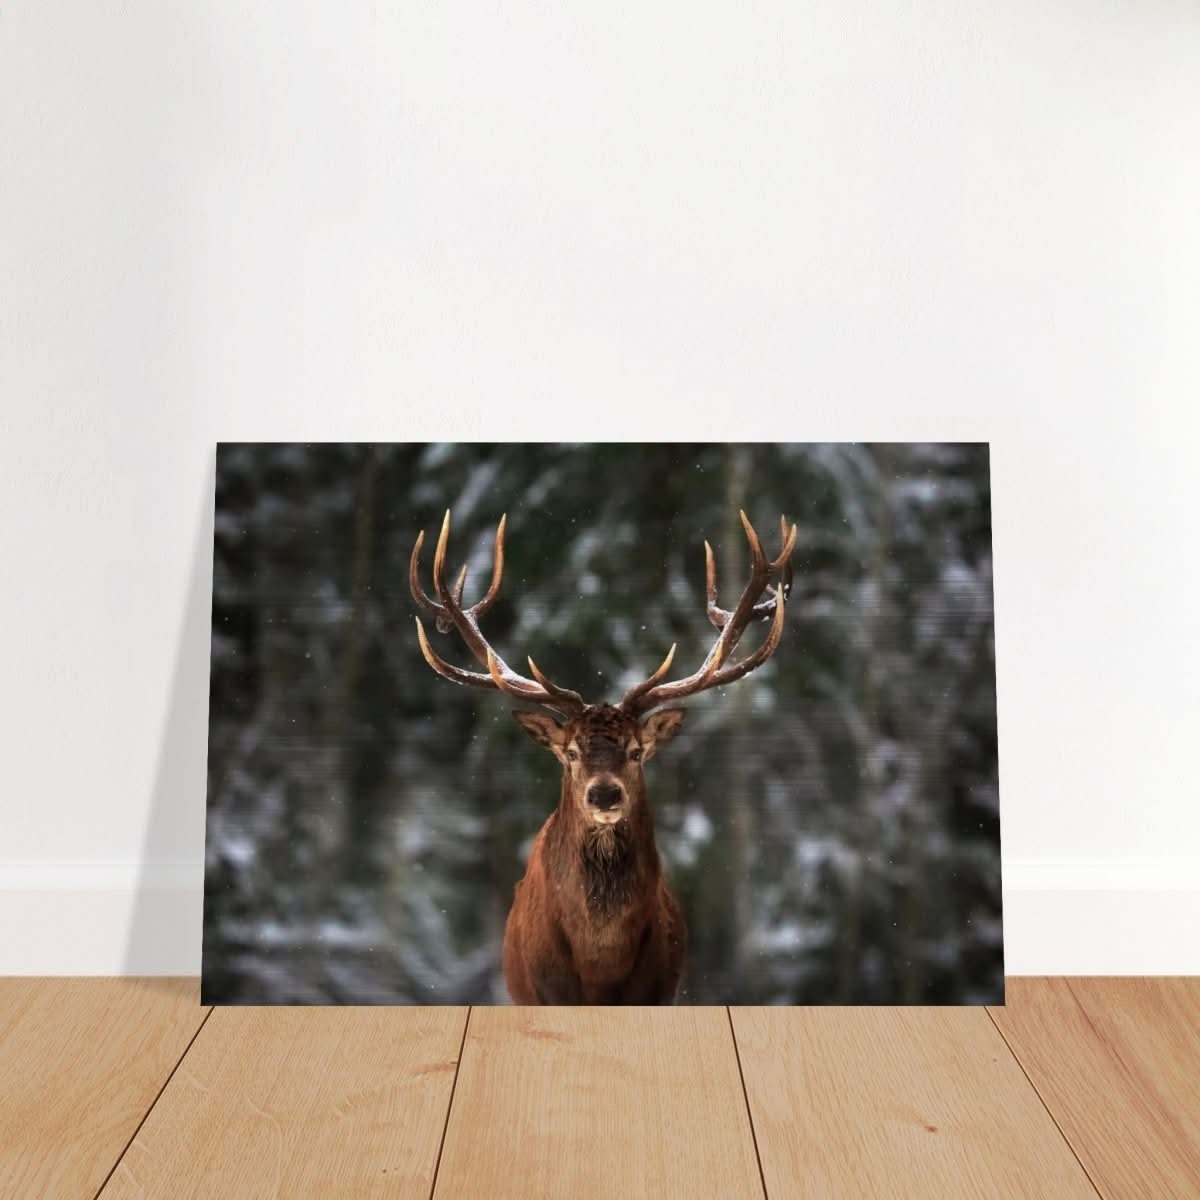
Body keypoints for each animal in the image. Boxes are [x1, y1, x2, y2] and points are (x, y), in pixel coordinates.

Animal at [409, 508, 796, 1004]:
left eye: (636, 751)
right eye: (571, 752)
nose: (605, 795)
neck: (600, 968)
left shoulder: (657, 991)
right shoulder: (545, 993)